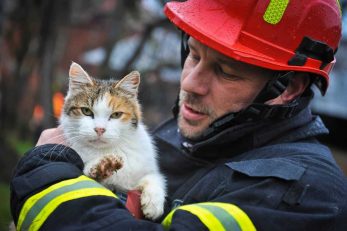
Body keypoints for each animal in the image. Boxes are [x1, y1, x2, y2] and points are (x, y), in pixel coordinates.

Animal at [58, 61, 167, 220]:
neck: (108, 150)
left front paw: (154, 201)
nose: (99, 129)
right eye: (86, 111)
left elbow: (154, 176)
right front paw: (99, 166)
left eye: (116, 115)